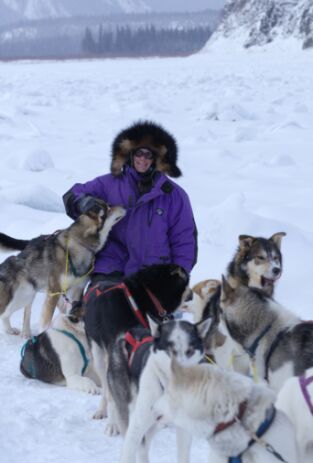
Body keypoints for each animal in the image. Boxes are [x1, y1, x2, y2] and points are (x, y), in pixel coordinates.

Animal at [0, 202, 125, 338]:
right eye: (108, 209)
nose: (123, 207)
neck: (78, 246)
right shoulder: (54, 292)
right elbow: (46, 322)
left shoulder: (76, 290)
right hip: (18, 297)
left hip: (28, 294)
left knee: (25, 312)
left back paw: (20, 332)